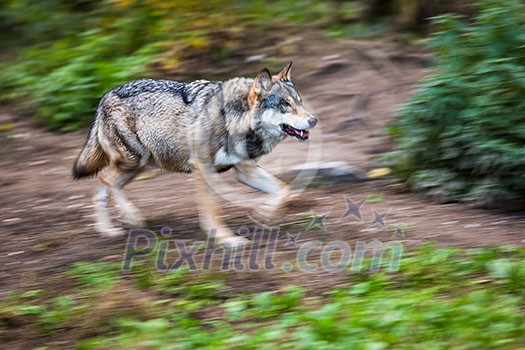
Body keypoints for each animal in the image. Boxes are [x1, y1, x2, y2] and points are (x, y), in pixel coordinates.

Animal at [72, 61, 320, 246]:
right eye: (284, 105)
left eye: (300, 102)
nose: (313, 120)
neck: (234, 120)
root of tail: (105, 96)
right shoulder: (202, 168)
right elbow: (213, 210)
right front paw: (226, 239)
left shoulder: (245, 171)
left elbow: (284, 190)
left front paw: (264, 212)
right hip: (134, 161)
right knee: (106, 180)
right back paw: (129, 218)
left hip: (137, 166)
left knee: (102, 185)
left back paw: (108, 230)